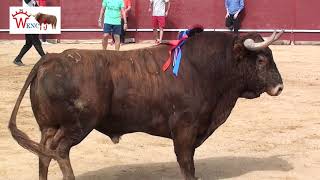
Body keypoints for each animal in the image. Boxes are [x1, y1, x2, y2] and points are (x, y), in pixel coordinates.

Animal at [9, 28, 284, 179]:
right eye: (261, 60)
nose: (279, 86)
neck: (205, 68)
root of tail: (51, 59)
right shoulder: (185, 129)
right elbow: (186, 164)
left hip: (49, 126)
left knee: (44, 153)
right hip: (77, 126)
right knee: (59, 151)